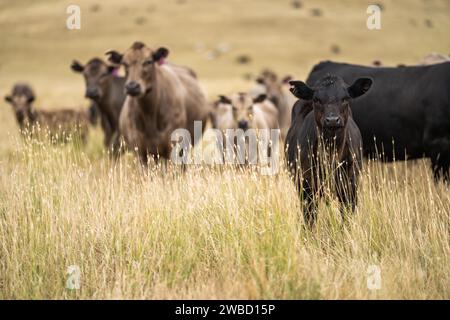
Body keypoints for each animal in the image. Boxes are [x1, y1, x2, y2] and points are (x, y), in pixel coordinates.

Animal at [284, 74, 372, 228]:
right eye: (316, 99)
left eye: (345, 98)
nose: (332, 120)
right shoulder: (307, 189)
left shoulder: (350, 188)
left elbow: (346, 220)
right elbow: (309, 222)